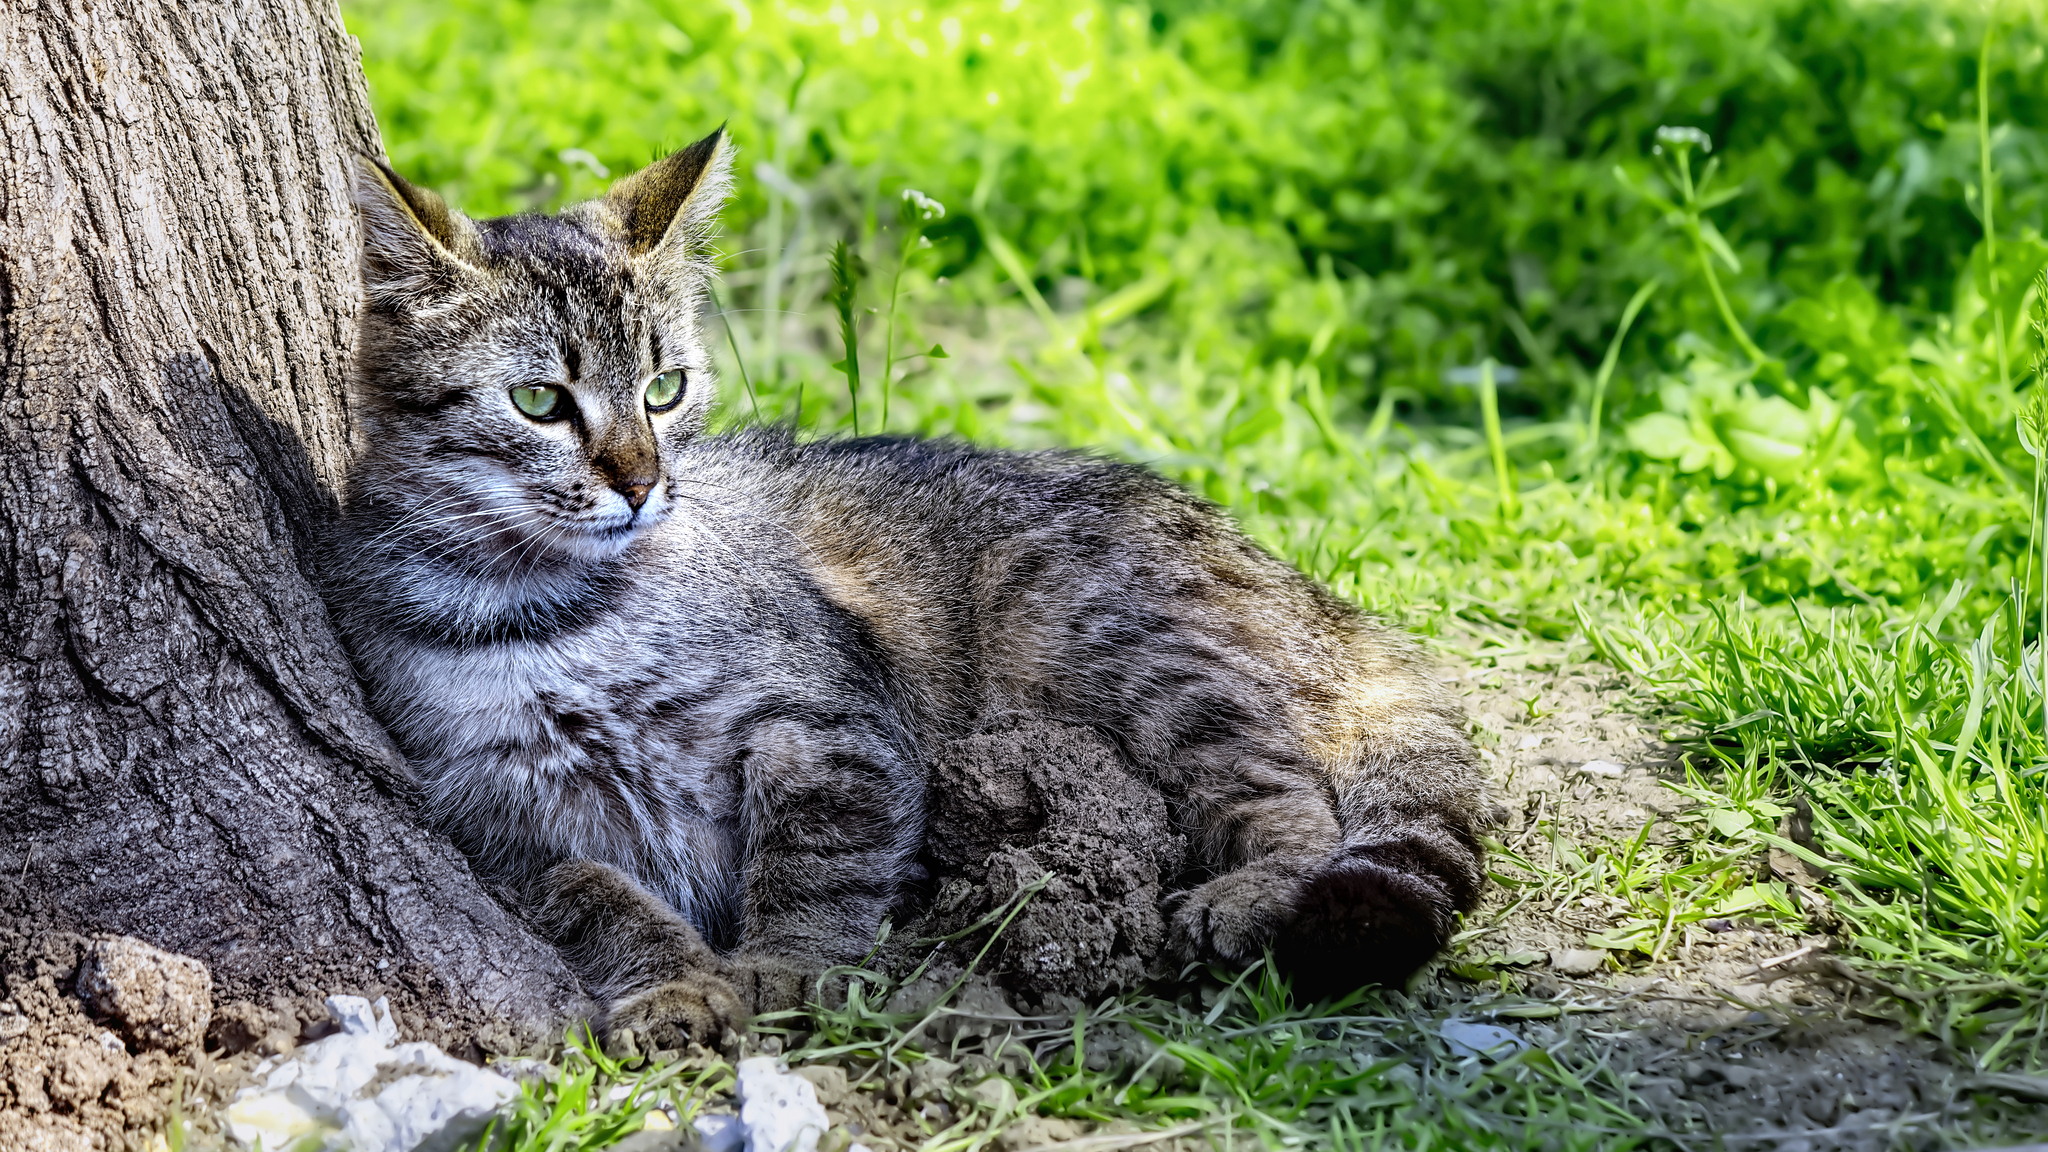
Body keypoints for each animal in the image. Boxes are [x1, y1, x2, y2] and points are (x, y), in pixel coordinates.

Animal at [331, 127, 1490, 1041]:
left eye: (665, 388)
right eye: (538, 400)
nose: (641, 480)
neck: (550, 610)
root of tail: (1306, 594)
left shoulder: (830, 726)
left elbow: (819, 863)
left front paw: (777, 968)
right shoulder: (495, 824)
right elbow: (598, 899)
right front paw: (673, 985)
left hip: (1116, 638)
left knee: (1284, 790)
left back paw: (1253, 890)